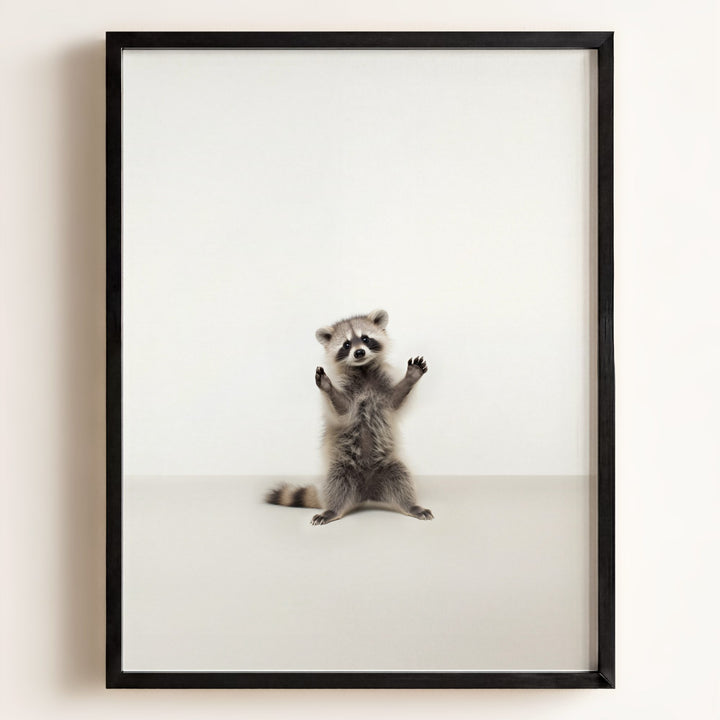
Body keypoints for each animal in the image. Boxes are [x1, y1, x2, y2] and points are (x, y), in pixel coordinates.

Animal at [265, 309, 433, 525]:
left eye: (365, 338)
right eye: (346, 344)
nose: (359, 352)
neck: (363, 369)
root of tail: (367, 493)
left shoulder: (382, 387)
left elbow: (395, 401)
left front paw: (410, 378)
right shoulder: (347, 390)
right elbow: (342, 410)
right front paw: (328, 387)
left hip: (389, 465)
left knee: (402, 478)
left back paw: (411, 506)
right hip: (341, 467)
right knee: (336, 484)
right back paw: (332, 510)